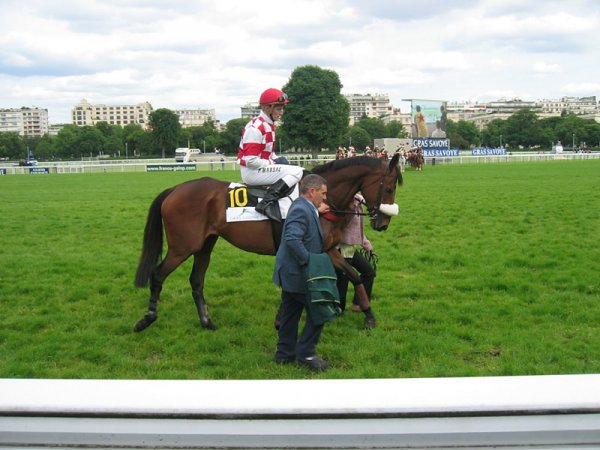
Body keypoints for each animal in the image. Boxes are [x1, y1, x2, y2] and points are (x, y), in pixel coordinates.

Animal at [133, 153, 400, 332]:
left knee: (196, 281)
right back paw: (147, 318)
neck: (322, 202)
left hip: (204, 246)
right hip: (182, 247)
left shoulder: (328, 250)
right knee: (157, 275)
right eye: (388, 188)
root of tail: (174, 189)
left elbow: (354, 276)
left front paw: (368, 315)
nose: (383, 223)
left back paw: (206, 322)